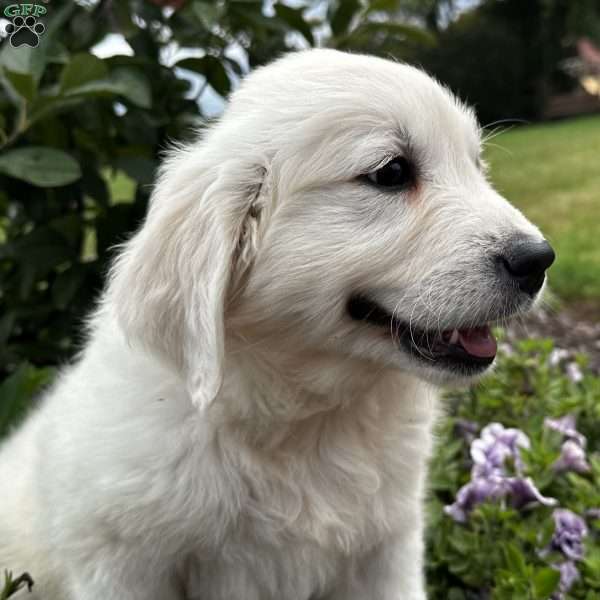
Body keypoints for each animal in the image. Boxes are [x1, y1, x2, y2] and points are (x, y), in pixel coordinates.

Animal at [0, 50, 552, 600]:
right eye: (392, 172)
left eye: (476, 166)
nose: (540, 260)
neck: (308, 417)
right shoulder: (122, 565)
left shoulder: (387, 552)